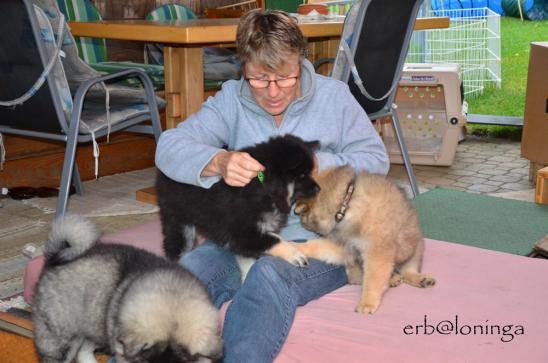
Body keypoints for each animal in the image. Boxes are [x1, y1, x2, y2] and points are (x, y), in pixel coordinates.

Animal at [32, 216, 224, 363]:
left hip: (94, 326)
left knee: (84, 350)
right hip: (61, 336)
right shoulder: (123, 351)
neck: (173, 296)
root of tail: (53, 259)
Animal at [156, 135, 322, 266]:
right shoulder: (242, 232)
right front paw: (295, 254)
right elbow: (275, 240)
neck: (263, 188)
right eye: (302, 175)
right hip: (178, 219)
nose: (318, 188)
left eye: (311, 172)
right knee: (176, 245)